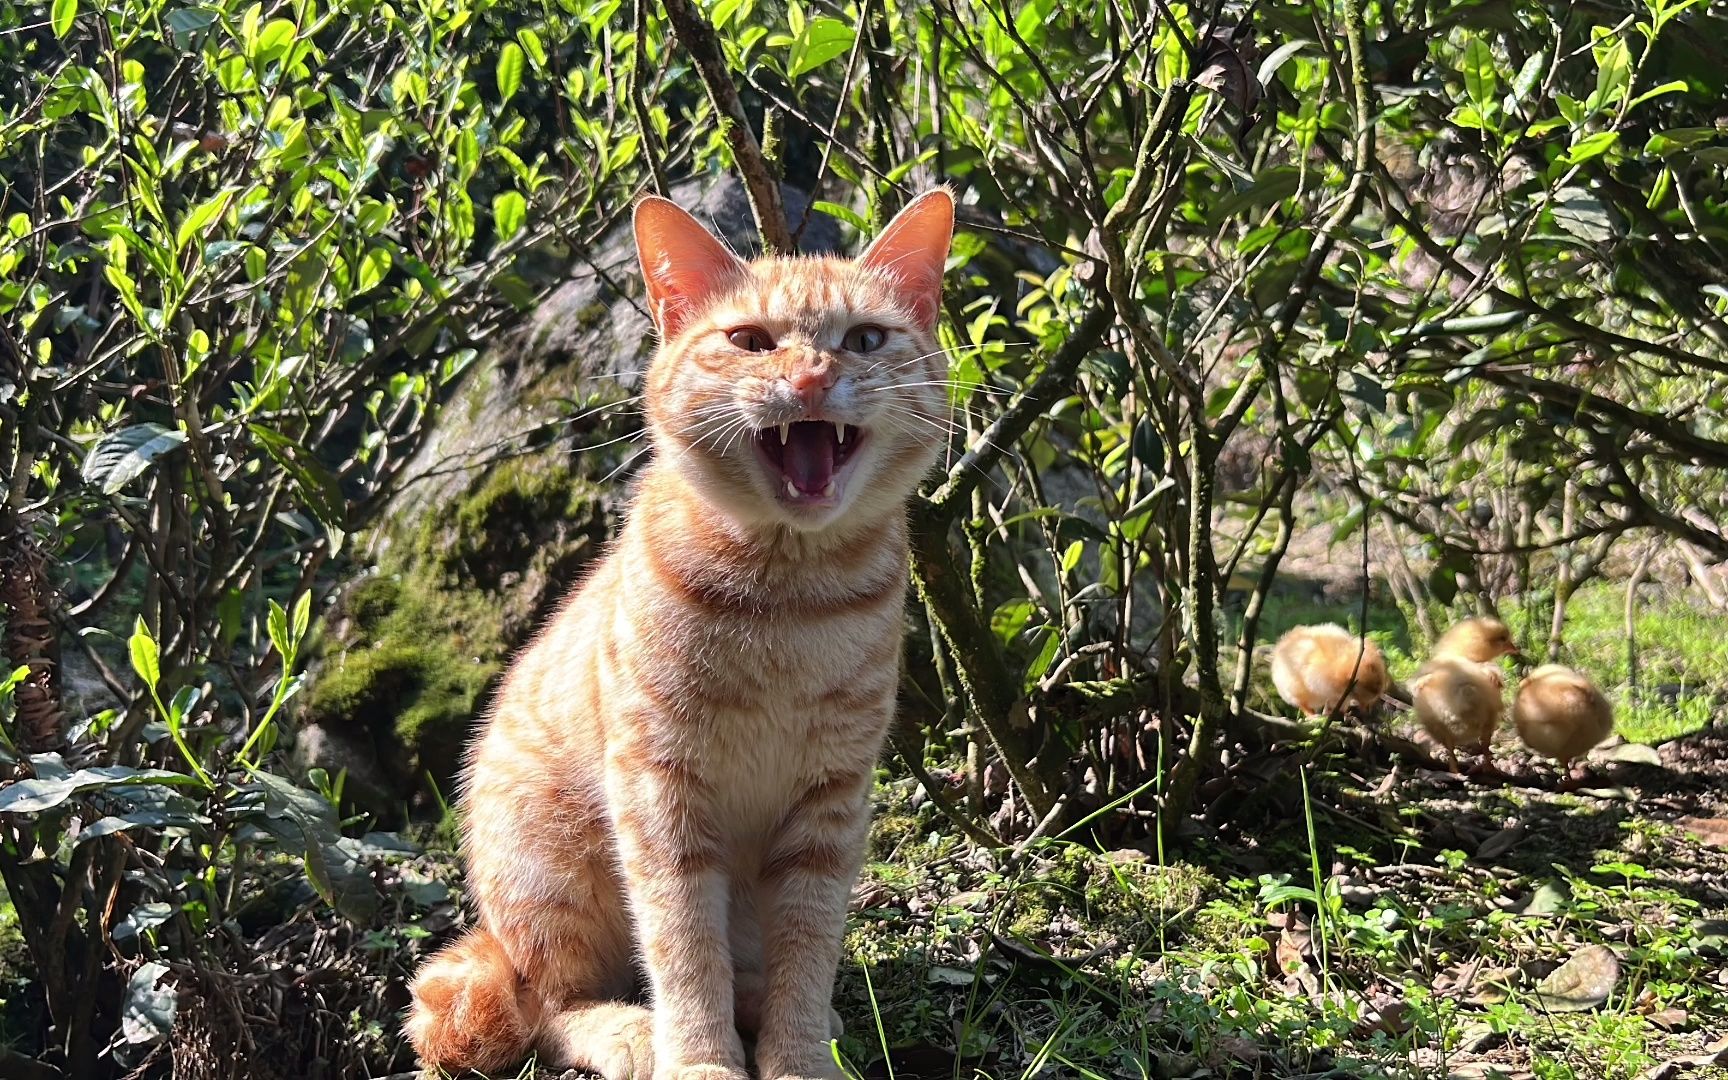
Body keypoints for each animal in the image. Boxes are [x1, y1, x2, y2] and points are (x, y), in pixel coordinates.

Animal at [406, 189, 960, 1071]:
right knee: (548, 1005)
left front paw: (798, 1056)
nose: (812, 374)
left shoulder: (830, 804)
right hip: (555, 871)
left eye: (865, 339)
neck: (788, 603)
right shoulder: (661, 795)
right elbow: (683, 947)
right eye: (751, 342)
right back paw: (632, 1032)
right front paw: (700, 1059)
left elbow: (808, 944)